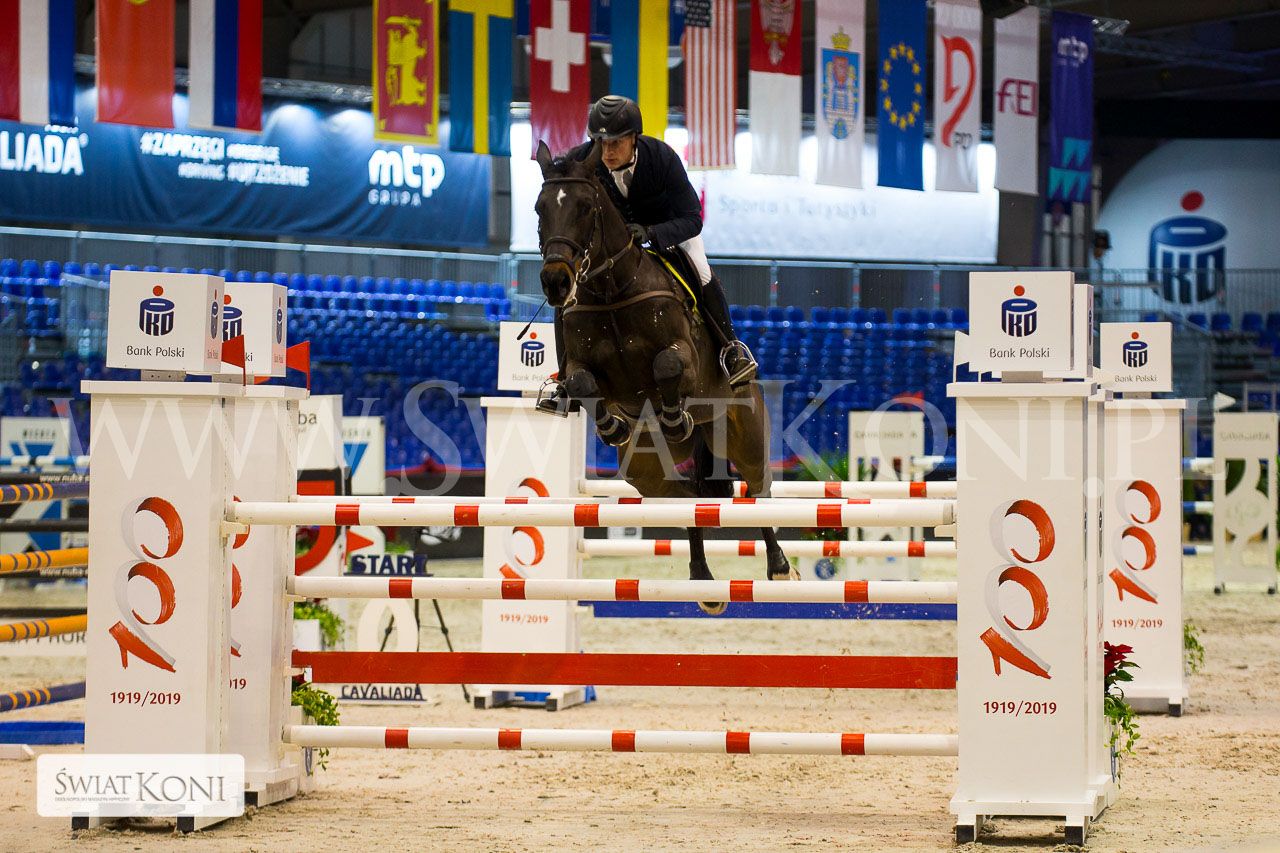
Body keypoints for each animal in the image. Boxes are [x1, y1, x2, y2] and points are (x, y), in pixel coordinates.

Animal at [534, 140, 795, 607]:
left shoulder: (684, 359)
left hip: (742, 431)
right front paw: (612, 424)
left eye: (584, 207)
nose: (556, 282)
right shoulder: (585, 369)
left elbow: (666, 365)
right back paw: (703, 579)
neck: (613, 290)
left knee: (758, 488)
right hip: (646, 469)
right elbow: (582, 382)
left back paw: (779, 566)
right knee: (688, 501)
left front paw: (674, 416)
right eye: (540, 208)